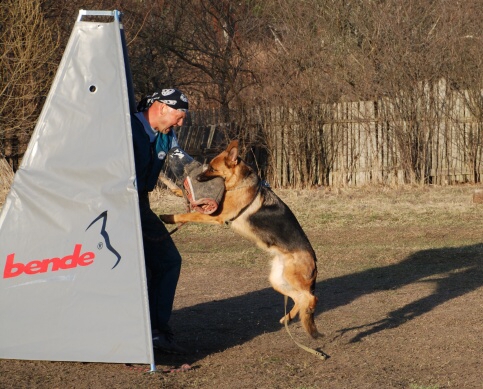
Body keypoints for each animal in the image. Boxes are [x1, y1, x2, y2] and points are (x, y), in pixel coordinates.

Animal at [161, 139, 322, 336]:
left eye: (212, 168)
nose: (197, 178)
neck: (240, 183)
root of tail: (313, 259)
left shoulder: (216, 216)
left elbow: (189, 215)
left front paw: (169, 217)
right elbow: (180, 194)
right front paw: (169, 185)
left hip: (291, 278)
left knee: (311, 297)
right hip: (278, 280)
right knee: (300, 298)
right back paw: (288, 318)